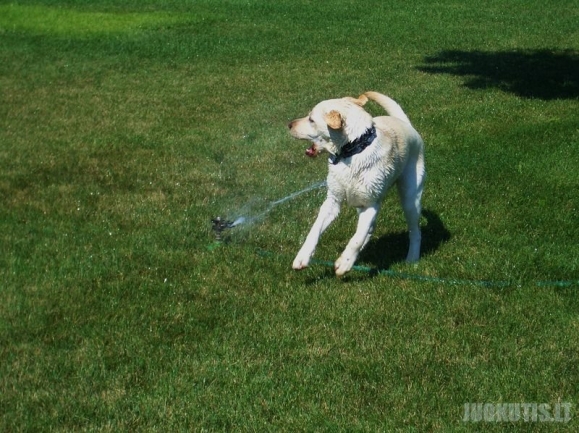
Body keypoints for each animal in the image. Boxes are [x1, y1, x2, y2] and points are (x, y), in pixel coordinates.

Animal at [288, 91, 426, 276]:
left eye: (311, 119)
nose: (289, 124)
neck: (352, 151)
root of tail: (406, 124)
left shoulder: (371, 204)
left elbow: (356, 239)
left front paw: (344, 263)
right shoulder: (332, 201)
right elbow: (315, 230)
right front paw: (302, 256)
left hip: (410, 199)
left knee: (414, 231)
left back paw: (412, 258)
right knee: (369, 230)